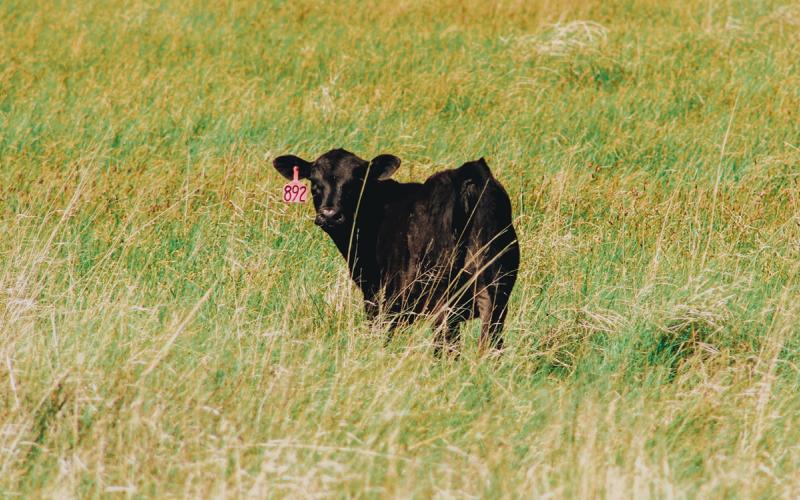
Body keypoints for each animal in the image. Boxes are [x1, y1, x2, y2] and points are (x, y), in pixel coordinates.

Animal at [273, 148, 520, 353]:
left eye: (357, 181)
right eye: (314, 182)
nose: (330, 214)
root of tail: (466, 174)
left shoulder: (380, 298)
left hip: (440, 291)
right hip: (496, 290)